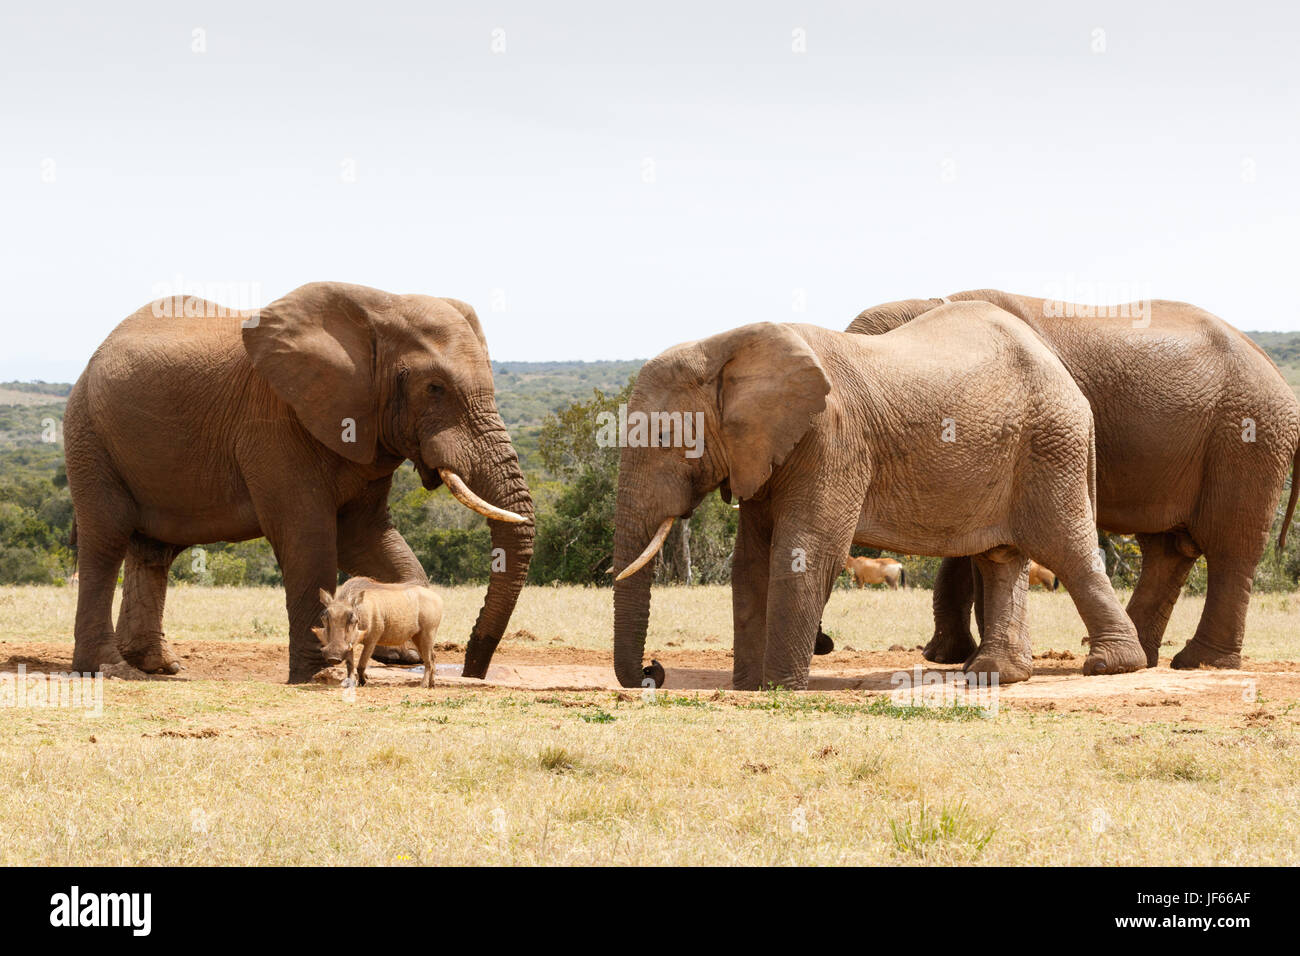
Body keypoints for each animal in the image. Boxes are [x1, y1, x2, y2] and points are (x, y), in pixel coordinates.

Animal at [63, 281, 534, 683]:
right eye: (435, 387)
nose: (474, 670)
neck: (381, 307)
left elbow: (369, 538)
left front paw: (399, 653)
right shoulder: (273, 423)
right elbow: (308, 538)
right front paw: (321, 674)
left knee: (153, 551)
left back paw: (158, 665)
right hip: (88, 434)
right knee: (106, 539)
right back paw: (111, 668)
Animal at [611, 302, 1146, 690]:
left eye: (665, 436)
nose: (653, 670)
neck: (725, 347)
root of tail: (1068, 380)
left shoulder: (831, 440)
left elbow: (806, 549)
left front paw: (780, 688)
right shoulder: (764, 452)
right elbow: (751, 558)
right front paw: (748, 687)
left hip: (1051, 445)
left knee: (1065, 547)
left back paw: (1111, 665)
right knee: (1001, 558)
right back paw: (993, 675)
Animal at [847, 290, 1300, 669]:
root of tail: (1275, 372)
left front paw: (967, 659)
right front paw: (950, 657)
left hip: (1247, 435)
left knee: (1229, 544)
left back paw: (1199, 662)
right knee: (1168, 546)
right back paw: (1145, 655)